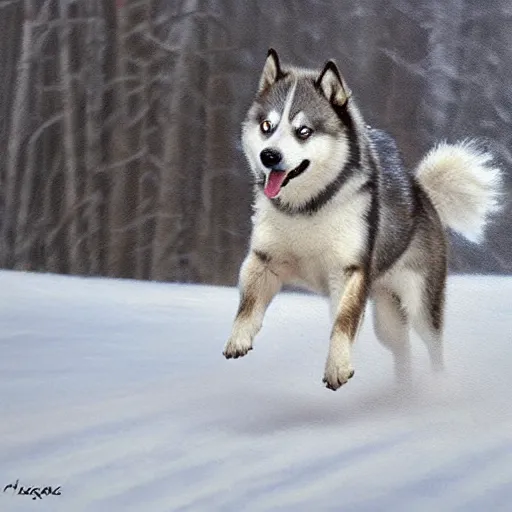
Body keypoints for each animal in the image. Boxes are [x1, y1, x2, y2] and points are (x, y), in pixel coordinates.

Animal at [222, 50, 502, 390]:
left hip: (420, 303)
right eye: (266, 126)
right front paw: (239, 338)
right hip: (387, 315)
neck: (308, 208)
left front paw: (337, 367)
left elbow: (343, 323)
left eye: (304, 131)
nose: (269, 156)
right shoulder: (265, 259)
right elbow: (248, 304)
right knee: (402, 349)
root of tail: (420, 192)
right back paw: (403, 389)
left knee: (432, 346)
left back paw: (435, 385)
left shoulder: (349, 271)